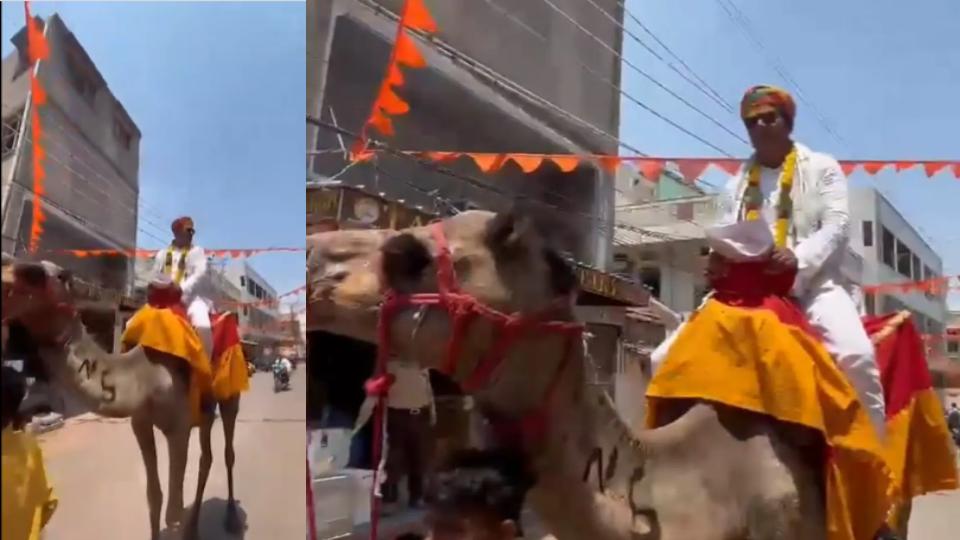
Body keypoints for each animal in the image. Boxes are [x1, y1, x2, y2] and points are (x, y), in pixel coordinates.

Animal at [4, 262, 244, 540]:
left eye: (35, 275)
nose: (6, 282)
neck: (145, 374)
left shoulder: (179, 429)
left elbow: (173, 512)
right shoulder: (140, 423)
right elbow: (154, 496)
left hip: (230, 391)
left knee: (228, 451)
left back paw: (232, 518)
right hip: (204, 412)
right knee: (206, 457)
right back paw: (194, 528)